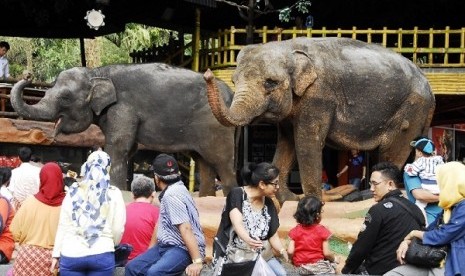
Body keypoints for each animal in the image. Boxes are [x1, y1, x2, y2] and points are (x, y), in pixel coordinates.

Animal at [12, 63, 237, 196]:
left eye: (65, 97)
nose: (28, 74)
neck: (98, 73)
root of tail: (231, 95)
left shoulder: (122, 108)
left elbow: (118, 147)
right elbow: (129, 149)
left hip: (217, 126)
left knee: (223, 164)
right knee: (205, 164)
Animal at [203, 36, 436, 202]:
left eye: (270, 82)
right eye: (234, 80)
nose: (207, 74)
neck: (288, 47)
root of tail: (429, 88)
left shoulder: (319, 97)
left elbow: (307, 142)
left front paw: (311, 201)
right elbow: (287, 143)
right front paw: (287, 199)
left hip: (412, 107)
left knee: (393, 149)